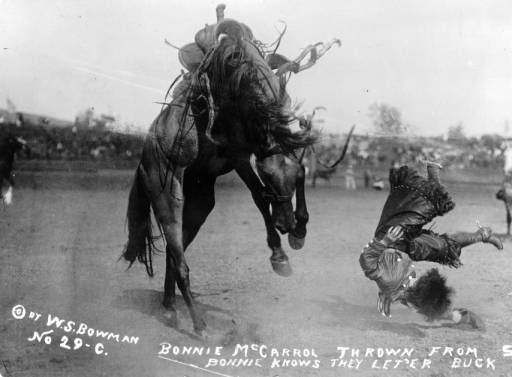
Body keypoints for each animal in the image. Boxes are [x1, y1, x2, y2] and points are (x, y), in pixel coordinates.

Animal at [124, 2, 352, 332]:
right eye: (268, 176)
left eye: (290, 177)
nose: (285, 224)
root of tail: (144, 156)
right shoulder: (238, 154)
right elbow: (259, 195)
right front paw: (280, 255)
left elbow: (297, 174)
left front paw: (298, 232)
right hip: (167, 195)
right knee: (177, 253)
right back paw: (198, 324)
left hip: (200, 201)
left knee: (173, 251)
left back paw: (169, 307)